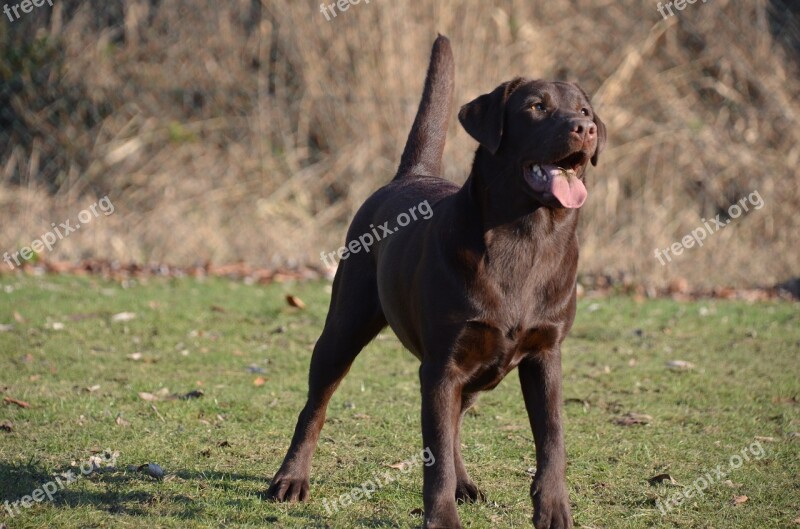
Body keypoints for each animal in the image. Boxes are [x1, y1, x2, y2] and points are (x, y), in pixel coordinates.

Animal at [266, 34, 604, 528]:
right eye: (536, 107)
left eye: (583, 109)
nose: (585, 129)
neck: (526, 236)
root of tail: (412, 174)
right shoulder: (443, 365)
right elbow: (437, 453)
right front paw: (442, 519)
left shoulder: (545, 355)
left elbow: (552, 439)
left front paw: (554, 510)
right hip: (344, 328)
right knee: (316, 406)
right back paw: (290, 479)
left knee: (455, 423)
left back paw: (465, 484)